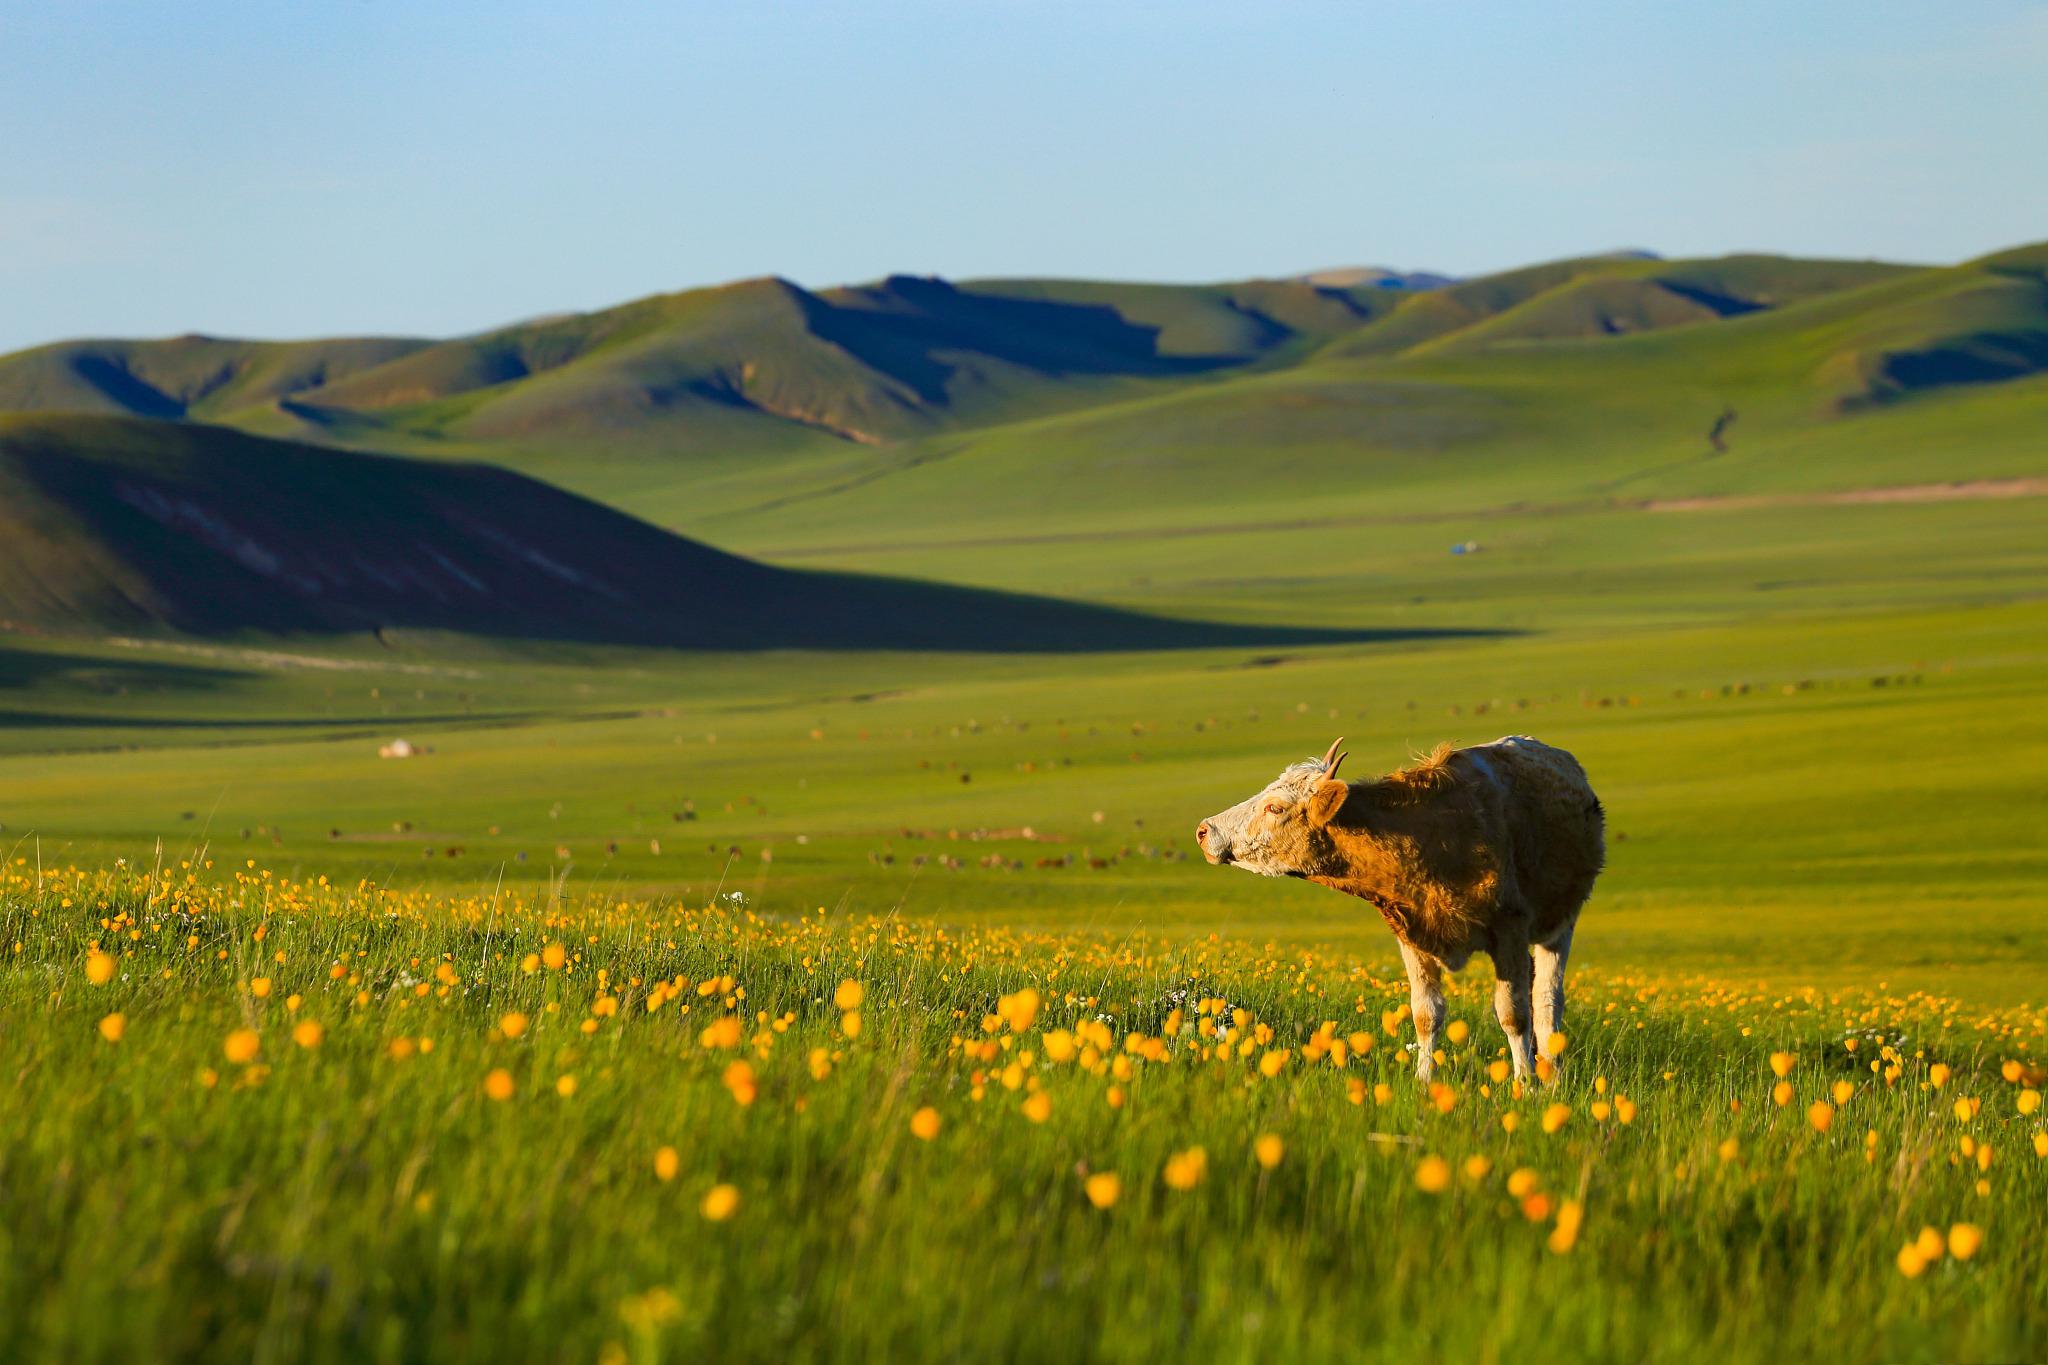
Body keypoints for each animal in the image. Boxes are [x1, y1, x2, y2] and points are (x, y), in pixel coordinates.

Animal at [1196, 740, 1605, 1080]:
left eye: (1275, 807)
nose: (1204, 830)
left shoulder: (1510, 930)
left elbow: (1513, 1013)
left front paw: (1524, 1085)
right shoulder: (1411, 935)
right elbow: (1426, 1014)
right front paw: (1424, 1082)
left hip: (1560, 925)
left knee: (1547, 1002)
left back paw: (1550, 1076)